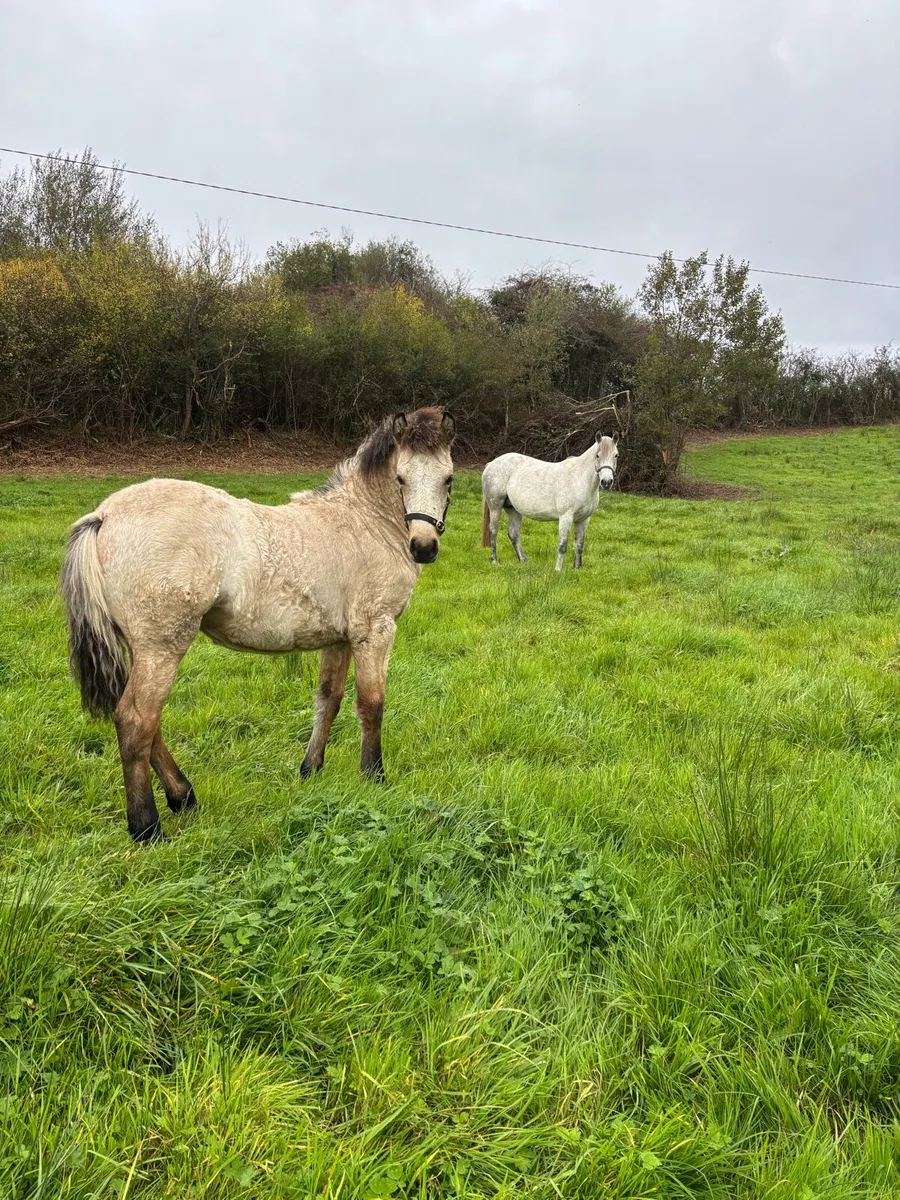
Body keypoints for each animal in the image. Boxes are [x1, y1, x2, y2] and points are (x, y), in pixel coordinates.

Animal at [61, 407, 456, 842]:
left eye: (448, 478)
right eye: (400, 478)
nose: (424, 547)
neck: (362, 522)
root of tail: (104, 515)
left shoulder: (339, 639)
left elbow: (329, 699)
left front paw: (311, 770)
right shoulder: (375, 631)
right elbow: (371, 704)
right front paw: (374, 777)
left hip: (143, 649)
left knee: (147, 723)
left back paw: (184, 797)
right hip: (161, 646)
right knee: (136, 721)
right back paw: (147, 827)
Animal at [481, 432, 618, 570]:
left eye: (616, 455)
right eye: (597, 455)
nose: (606, 482)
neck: (579, 479)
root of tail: (491, 463)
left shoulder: (584, 519)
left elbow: (579, 545)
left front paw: (577, 568)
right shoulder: (566, 517)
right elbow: (562, 545)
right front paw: (558, 570)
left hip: (513, 509)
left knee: (514, 534)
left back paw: (523, 560)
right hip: (495, 506)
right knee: (493, 530)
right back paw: (494, 560)